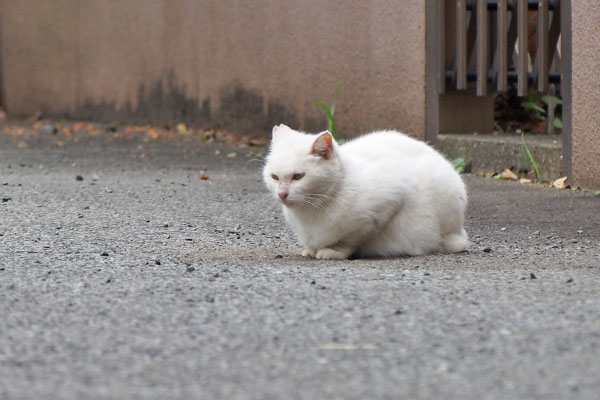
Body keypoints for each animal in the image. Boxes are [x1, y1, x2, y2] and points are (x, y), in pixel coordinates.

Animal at [264, 125, 468, 260]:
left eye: (298, 176)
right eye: (274, 177)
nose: (281, 194)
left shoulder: (388, 200)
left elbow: (350, 240)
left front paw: (333, 250)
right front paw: (310, 250)